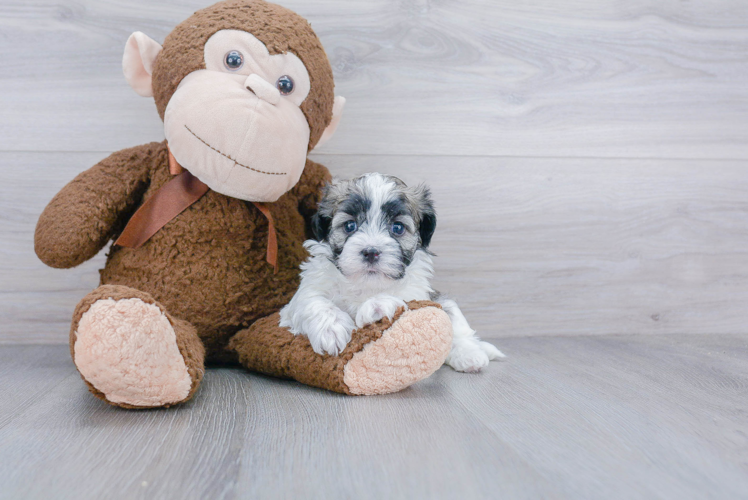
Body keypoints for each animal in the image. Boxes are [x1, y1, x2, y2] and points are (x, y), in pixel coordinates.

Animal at [278, 172, 506, 372]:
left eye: (397, 228)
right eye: (350, 225)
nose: (371, 251)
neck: (367, 285)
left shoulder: (420, 295)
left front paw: (377, 307)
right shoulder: (301, 297)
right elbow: (313, 301)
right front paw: (331, 330)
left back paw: (470, 355)